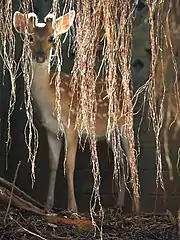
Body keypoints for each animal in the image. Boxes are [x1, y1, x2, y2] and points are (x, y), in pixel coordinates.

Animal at [13, 9, 130, 214]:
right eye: (30, 37)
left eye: (52, 38)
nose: (40, 56)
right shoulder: (52, 130)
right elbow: (53, 165)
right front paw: (48, 205)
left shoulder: (72, 126)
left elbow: (69, 165)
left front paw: (73, 208)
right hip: (111, 133)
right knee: (121, 163)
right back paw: (118, 205)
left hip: (125, 124)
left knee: (131, 161)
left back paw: (137, 208)